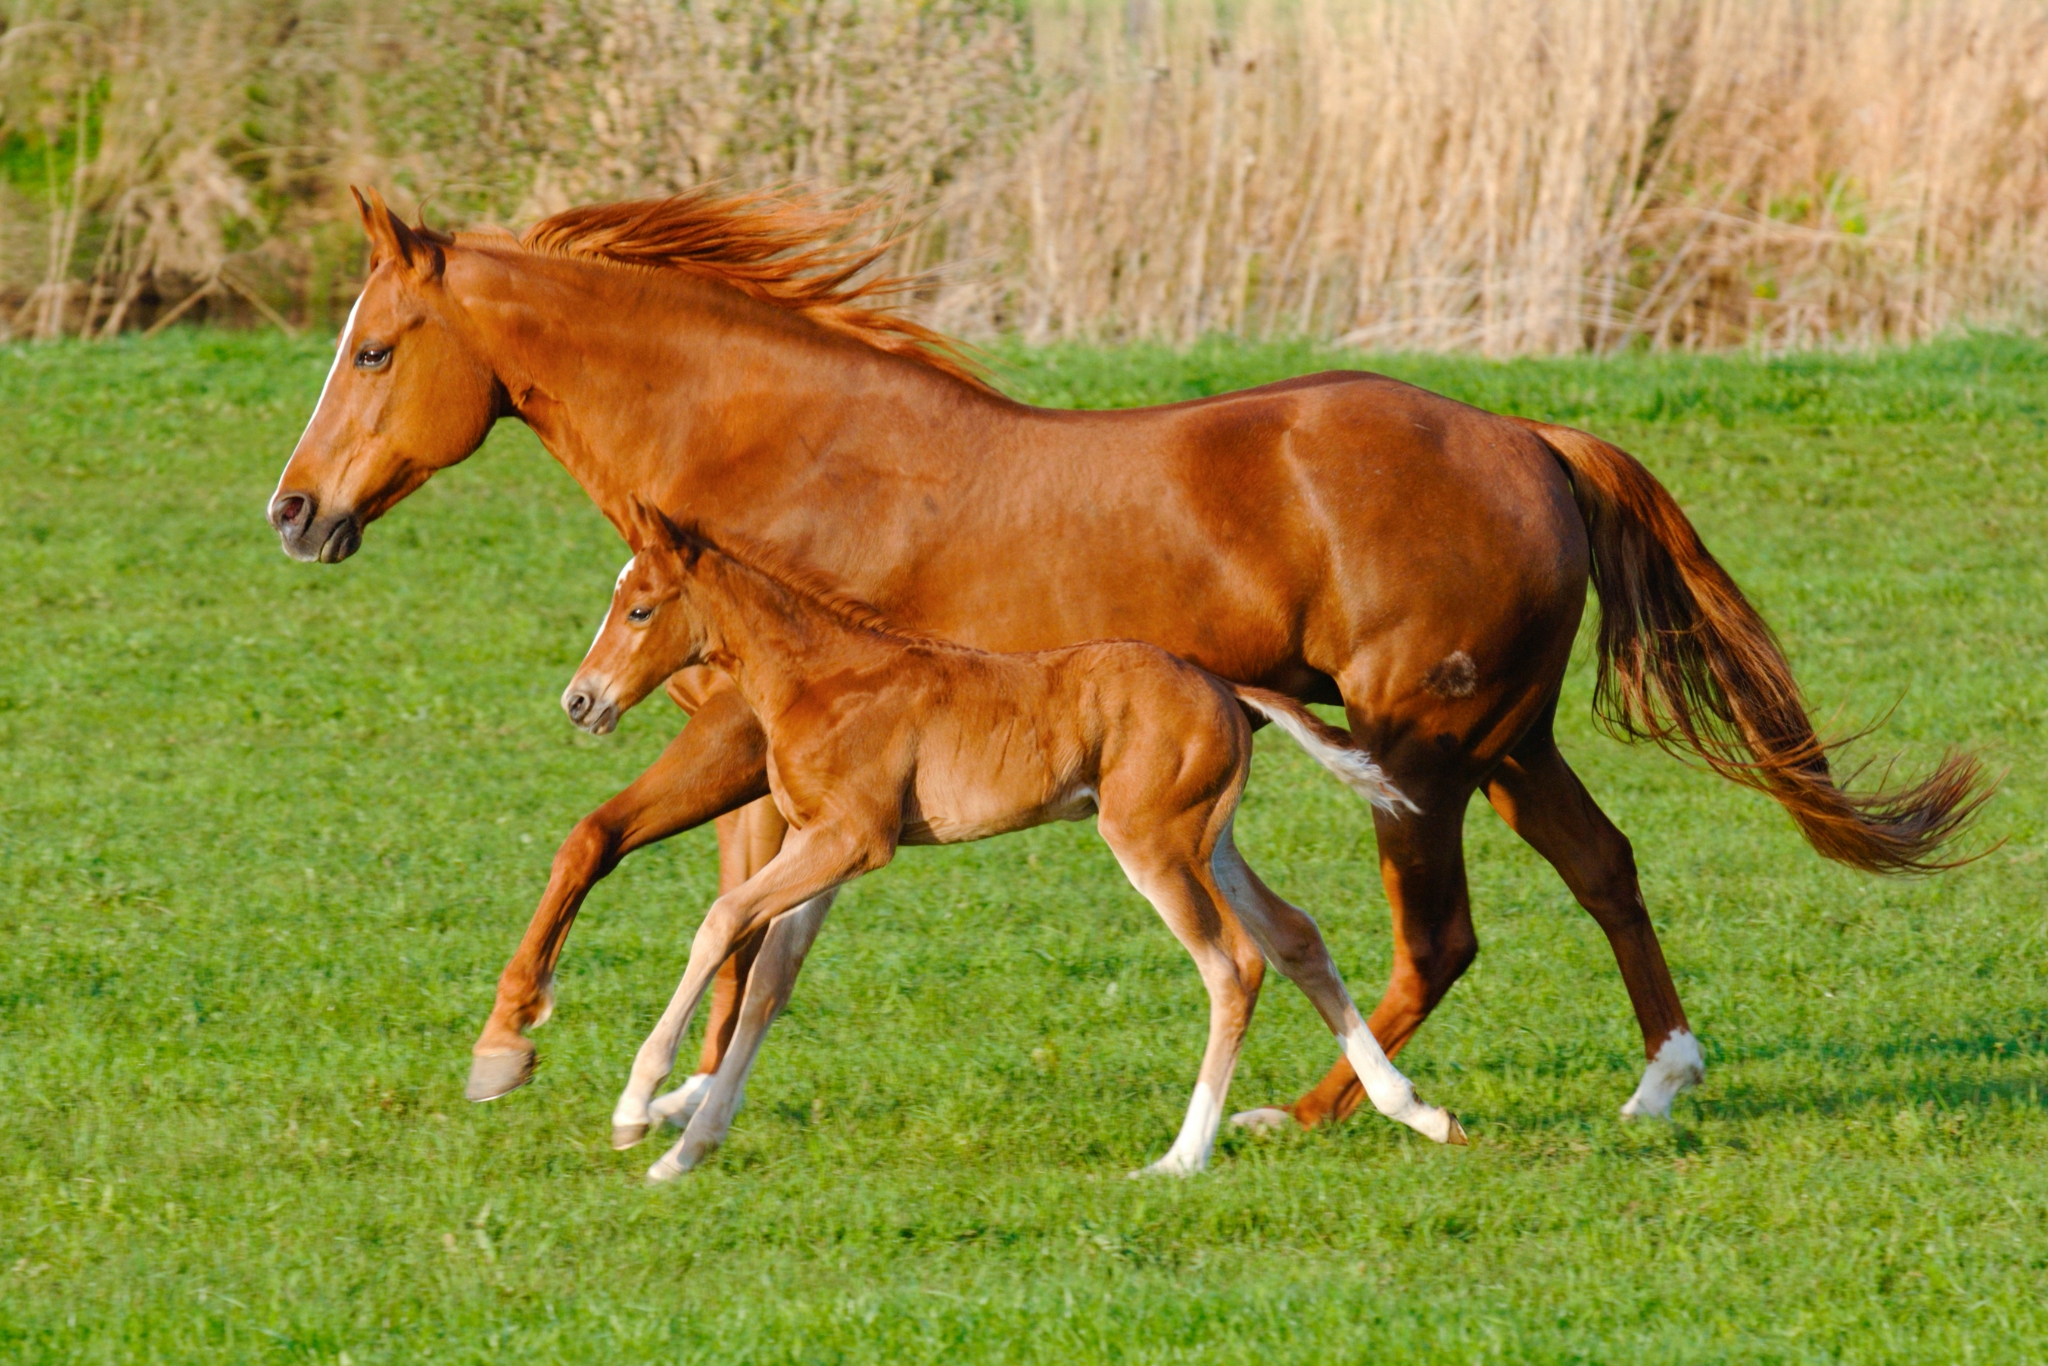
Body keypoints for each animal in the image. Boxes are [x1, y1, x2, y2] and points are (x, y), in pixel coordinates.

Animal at [568, 499, 1465, 1178]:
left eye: (639, 608)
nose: (580, 701)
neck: (821, 679)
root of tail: (1222, 686)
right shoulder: (817, 848)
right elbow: (767, 984)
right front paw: (686, 1151)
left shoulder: (854, 840)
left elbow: (720, 921)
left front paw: (637, 1108)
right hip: (1209, 840)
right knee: (1295, 936)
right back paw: (1417, 1111)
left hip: (1151, 843)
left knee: (1234, 966)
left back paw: (1181, 1159)